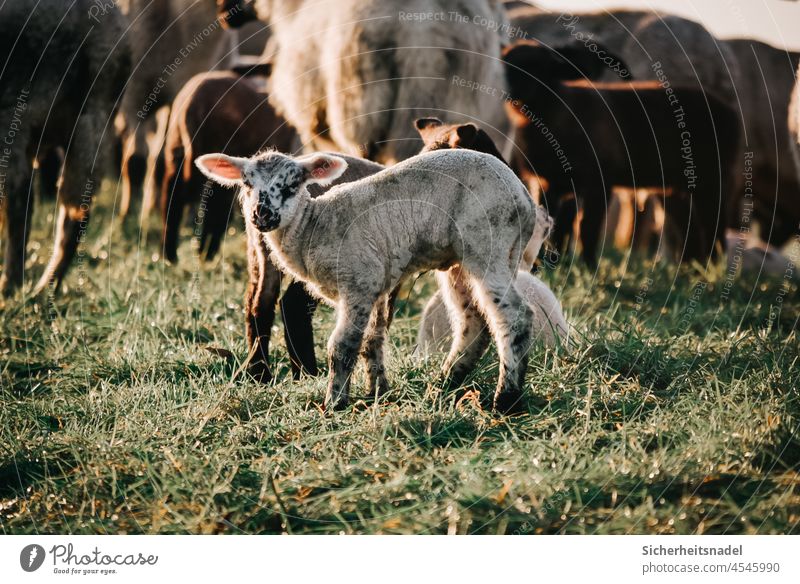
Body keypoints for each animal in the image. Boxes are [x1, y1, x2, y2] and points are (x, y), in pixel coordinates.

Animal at [161, 69, 298, 264]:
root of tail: (195, 100)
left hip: (176, 148)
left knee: (173, 194)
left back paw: (170, 255)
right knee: (215, 203)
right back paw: (206, 254)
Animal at [197, 147, 540, 410]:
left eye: (293, 184)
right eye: (246, 182)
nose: (262, 215)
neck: (313, 227)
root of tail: (524, 196)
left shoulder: (358, 283)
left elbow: (342, 345)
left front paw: (334, 403)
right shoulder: (375, 283)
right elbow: (371, 341)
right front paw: (377, 393)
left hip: (489, 244)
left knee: (515, 316)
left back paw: (506, 400)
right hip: (462, 261)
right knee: (474, 320)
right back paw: (446, 381)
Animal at [504, 40, 740, 266]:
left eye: (539, 66)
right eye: (505, 62)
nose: (508, 90)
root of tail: (730, 112)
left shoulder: (599, 182)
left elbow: (588, 227)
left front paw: (588, 266)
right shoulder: (550, 184)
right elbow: (553, 225)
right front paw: (547, 262)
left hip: (714, 181)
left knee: (714, 229)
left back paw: (710, 268)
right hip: (677, 186)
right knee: (688, 230)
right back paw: (688, 268)